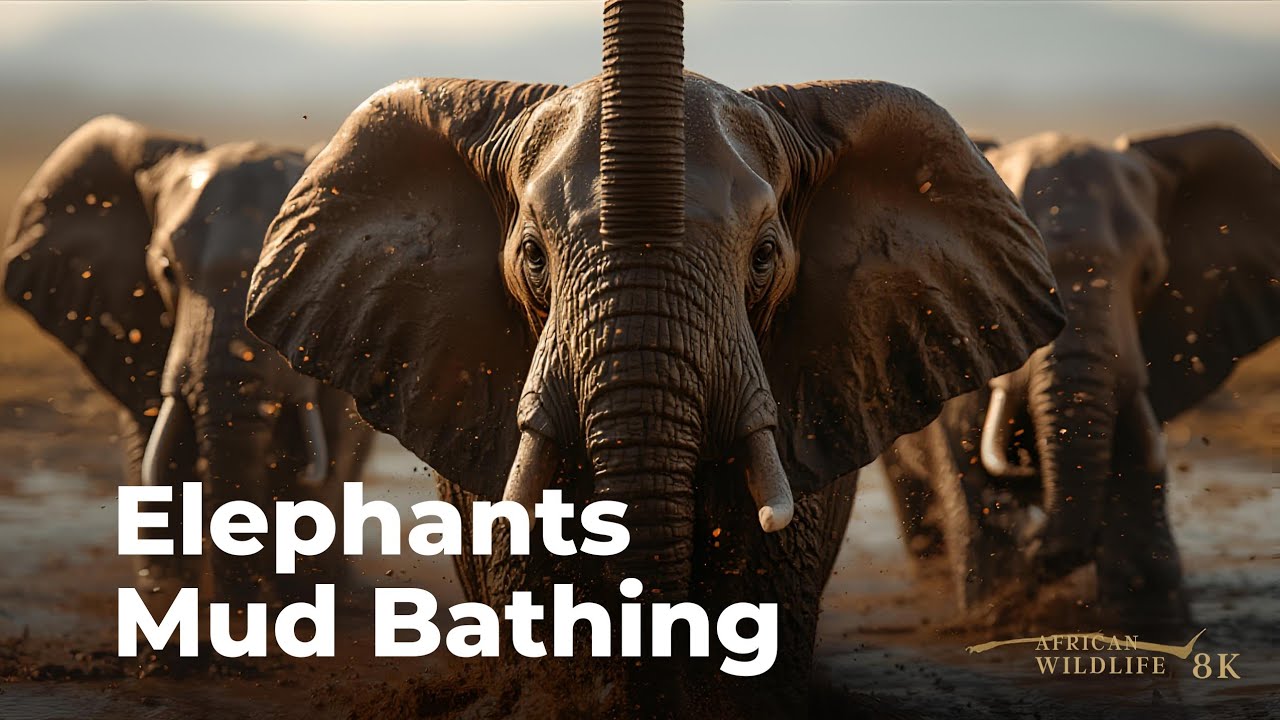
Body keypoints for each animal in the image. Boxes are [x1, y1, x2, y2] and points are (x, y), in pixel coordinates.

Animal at [1, 116, 375, 625]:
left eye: (298, 270)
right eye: (167, 273)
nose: (240, 610)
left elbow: (324, 444)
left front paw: (304, 601)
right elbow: (160, 443)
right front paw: (167, 592)